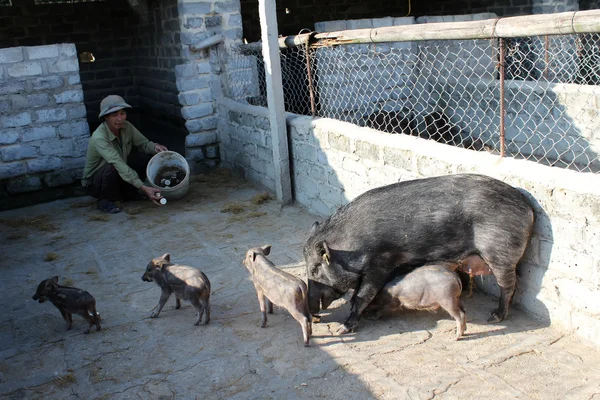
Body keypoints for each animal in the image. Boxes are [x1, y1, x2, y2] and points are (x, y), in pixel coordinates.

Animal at [304, 173, 536, 332]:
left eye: (315, 270)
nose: (310, 308)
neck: (352, 246)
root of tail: (528, 208)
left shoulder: (380, 261)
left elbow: (363, 295)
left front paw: (343, 328)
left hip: (500, 252)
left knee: (509, 284)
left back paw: (494, 317)